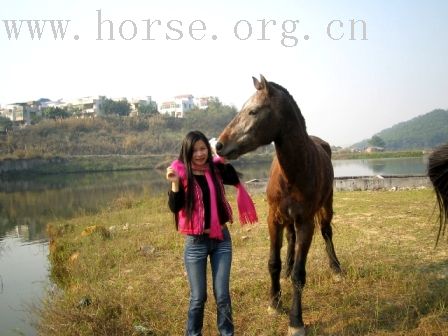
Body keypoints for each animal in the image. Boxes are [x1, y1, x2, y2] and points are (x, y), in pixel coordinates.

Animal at [215, 75, 342, 334]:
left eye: (253, 111)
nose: (219, 145)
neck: (294, 172)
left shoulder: (306, 223)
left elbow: (299, 275)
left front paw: (296, 321)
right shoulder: (273, 218)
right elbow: (273, 262)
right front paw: (274, 302)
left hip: (326, 206)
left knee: (327, 232)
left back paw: (336, 269)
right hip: (287, 219)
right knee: (290, 240)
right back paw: (286, 270)